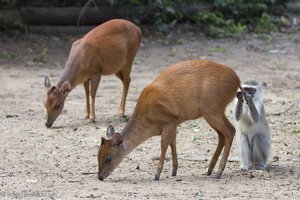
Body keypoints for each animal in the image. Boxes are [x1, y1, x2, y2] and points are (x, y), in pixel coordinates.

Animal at [97, 59, 243, 181]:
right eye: (97, 154)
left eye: (108, 158)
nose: (100, 177)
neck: (149, 121)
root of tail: (237, 80)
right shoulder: (174, 123)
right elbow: (173, 142)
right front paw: (174, 170)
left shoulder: (170, 120)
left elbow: (164, 144)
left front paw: (157, 174)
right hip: (211, 112)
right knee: (221, 135)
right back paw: (209, 169)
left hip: (213, 109)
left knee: (230, 131)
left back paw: (218, 172)